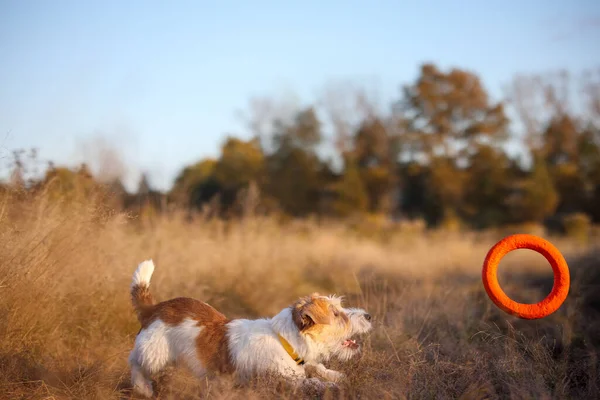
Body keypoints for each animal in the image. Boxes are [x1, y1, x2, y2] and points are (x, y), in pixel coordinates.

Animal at [127, 260, 370, 396]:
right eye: (337, 314)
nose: (368, 315)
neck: (286, 341)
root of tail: (154, 308)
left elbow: (317, 368)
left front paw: (337, 376)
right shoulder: (284, 381)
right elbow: (312, 382)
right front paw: (331, 386)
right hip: (154, 353)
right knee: (134, 361)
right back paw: (143, 388)